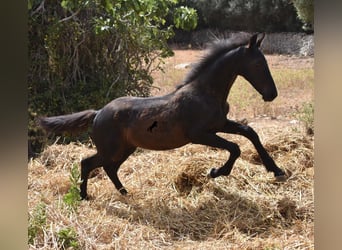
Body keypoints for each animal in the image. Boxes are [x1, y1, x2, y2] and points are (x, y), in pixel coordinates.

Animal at [38, 33, 286, 201]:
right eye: (258, 63)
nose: (272, 94)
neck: (205, 93)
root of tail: (98, 113)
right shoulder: (200, 134)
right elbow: (235, 147)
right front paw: (215, 172)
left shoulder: (220, 124)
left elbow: (250, 133)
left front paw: (277, 170)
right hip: (111, 149)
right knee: (88, 163)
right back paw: (84, 196)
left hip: (126, 148)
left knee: (110, 168)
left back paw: (125, 193)